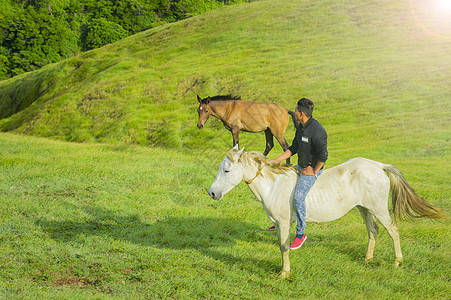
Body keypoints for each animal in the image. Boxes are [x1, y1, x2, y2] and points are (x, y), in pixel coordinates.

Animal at [208, 146, 444, 278]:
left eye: (226, 170)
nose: (212, 193)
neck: (274, 184)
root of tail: (378, 165)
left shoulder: (284, 223)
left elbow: (284, 247)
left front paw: (284, 273)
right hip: (364, 208)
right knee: (373, 230)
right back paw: (367, 259)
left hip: (377, 208)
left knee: (393, 229)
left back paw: (397, 261)